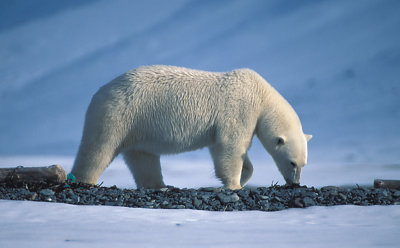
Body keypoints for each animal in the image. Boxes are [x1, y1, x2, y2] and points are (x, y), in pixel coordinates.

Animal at [70, 65, 310, 189]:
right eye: (292, 162)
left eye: (304, 164)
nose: (295, 183)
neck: (261, 95)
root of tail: (100, 92)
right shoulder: (240, 109)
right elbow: (232, 146)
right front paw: (235, 185)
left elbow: (221, 149)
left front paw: (240, 177)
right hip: (119, 115)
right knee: (98, 149)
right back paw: (85, 180)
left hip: (136, 127)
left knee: (143, 158)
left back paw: (159, 185)